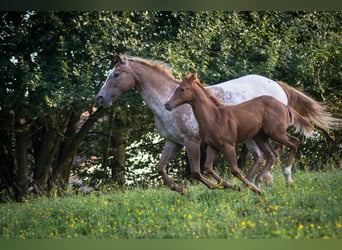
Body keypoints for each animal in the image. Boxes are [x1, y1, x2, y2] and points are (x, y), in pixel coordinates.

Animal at [95, 54, 340, 195]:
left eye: (116, 74)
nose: (100, 98)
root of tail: (278, 86)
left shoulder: (192, 142)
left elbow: (196, 171)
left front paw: (214, 186)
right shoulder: (173, 143)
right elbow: (161, 168)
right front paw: (181, 189)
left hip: (265, 133)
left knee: (276, 152)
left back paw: (268, 180)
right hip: (253, 137)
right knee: (263, 156)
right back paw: (254, 183)